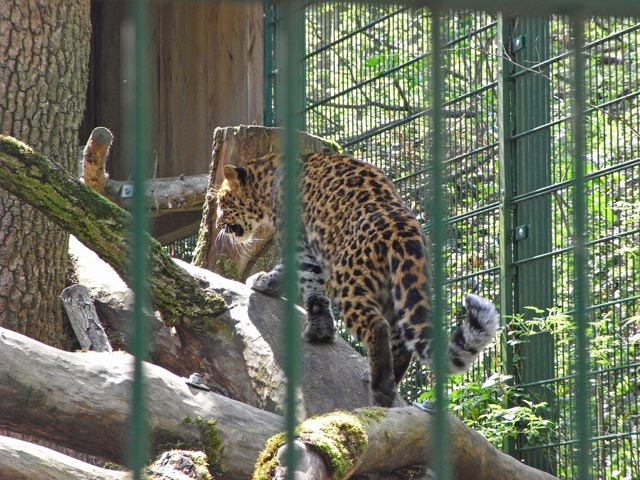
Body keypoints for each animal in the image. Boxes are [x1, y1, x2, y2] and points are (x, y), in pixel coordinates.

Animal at [216, 151, 500, 404]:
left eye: (221, 202)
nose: (219, 225)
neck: (266, 180)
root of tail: (403, 231)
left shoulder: (299, 241)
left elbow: (305, 280)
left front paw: (310, 324)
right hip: (397, 289)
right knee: (401, 338)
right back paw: (384, 377)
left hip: (351, 282)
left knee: (377, 326)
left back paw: (381, 389)